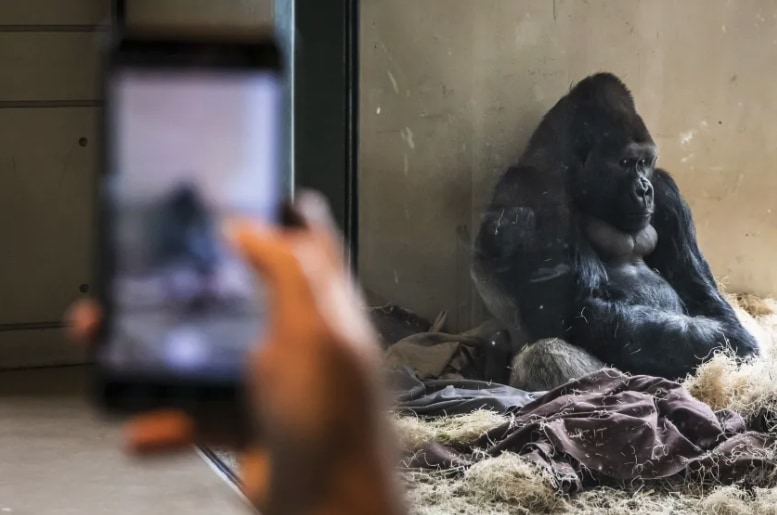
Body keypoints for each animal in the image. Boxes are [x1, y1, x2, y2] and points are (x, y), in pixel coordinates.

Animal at [470, 72, 760, 394]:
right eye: (624, 163)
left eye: (644, 162)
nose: (644, 189)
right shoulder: (531, 191)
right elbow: (577, 310)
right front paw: (726, 340)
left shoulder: (666, 189)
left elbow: (699, 290)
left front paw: (734, 338)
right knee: (546, 353)